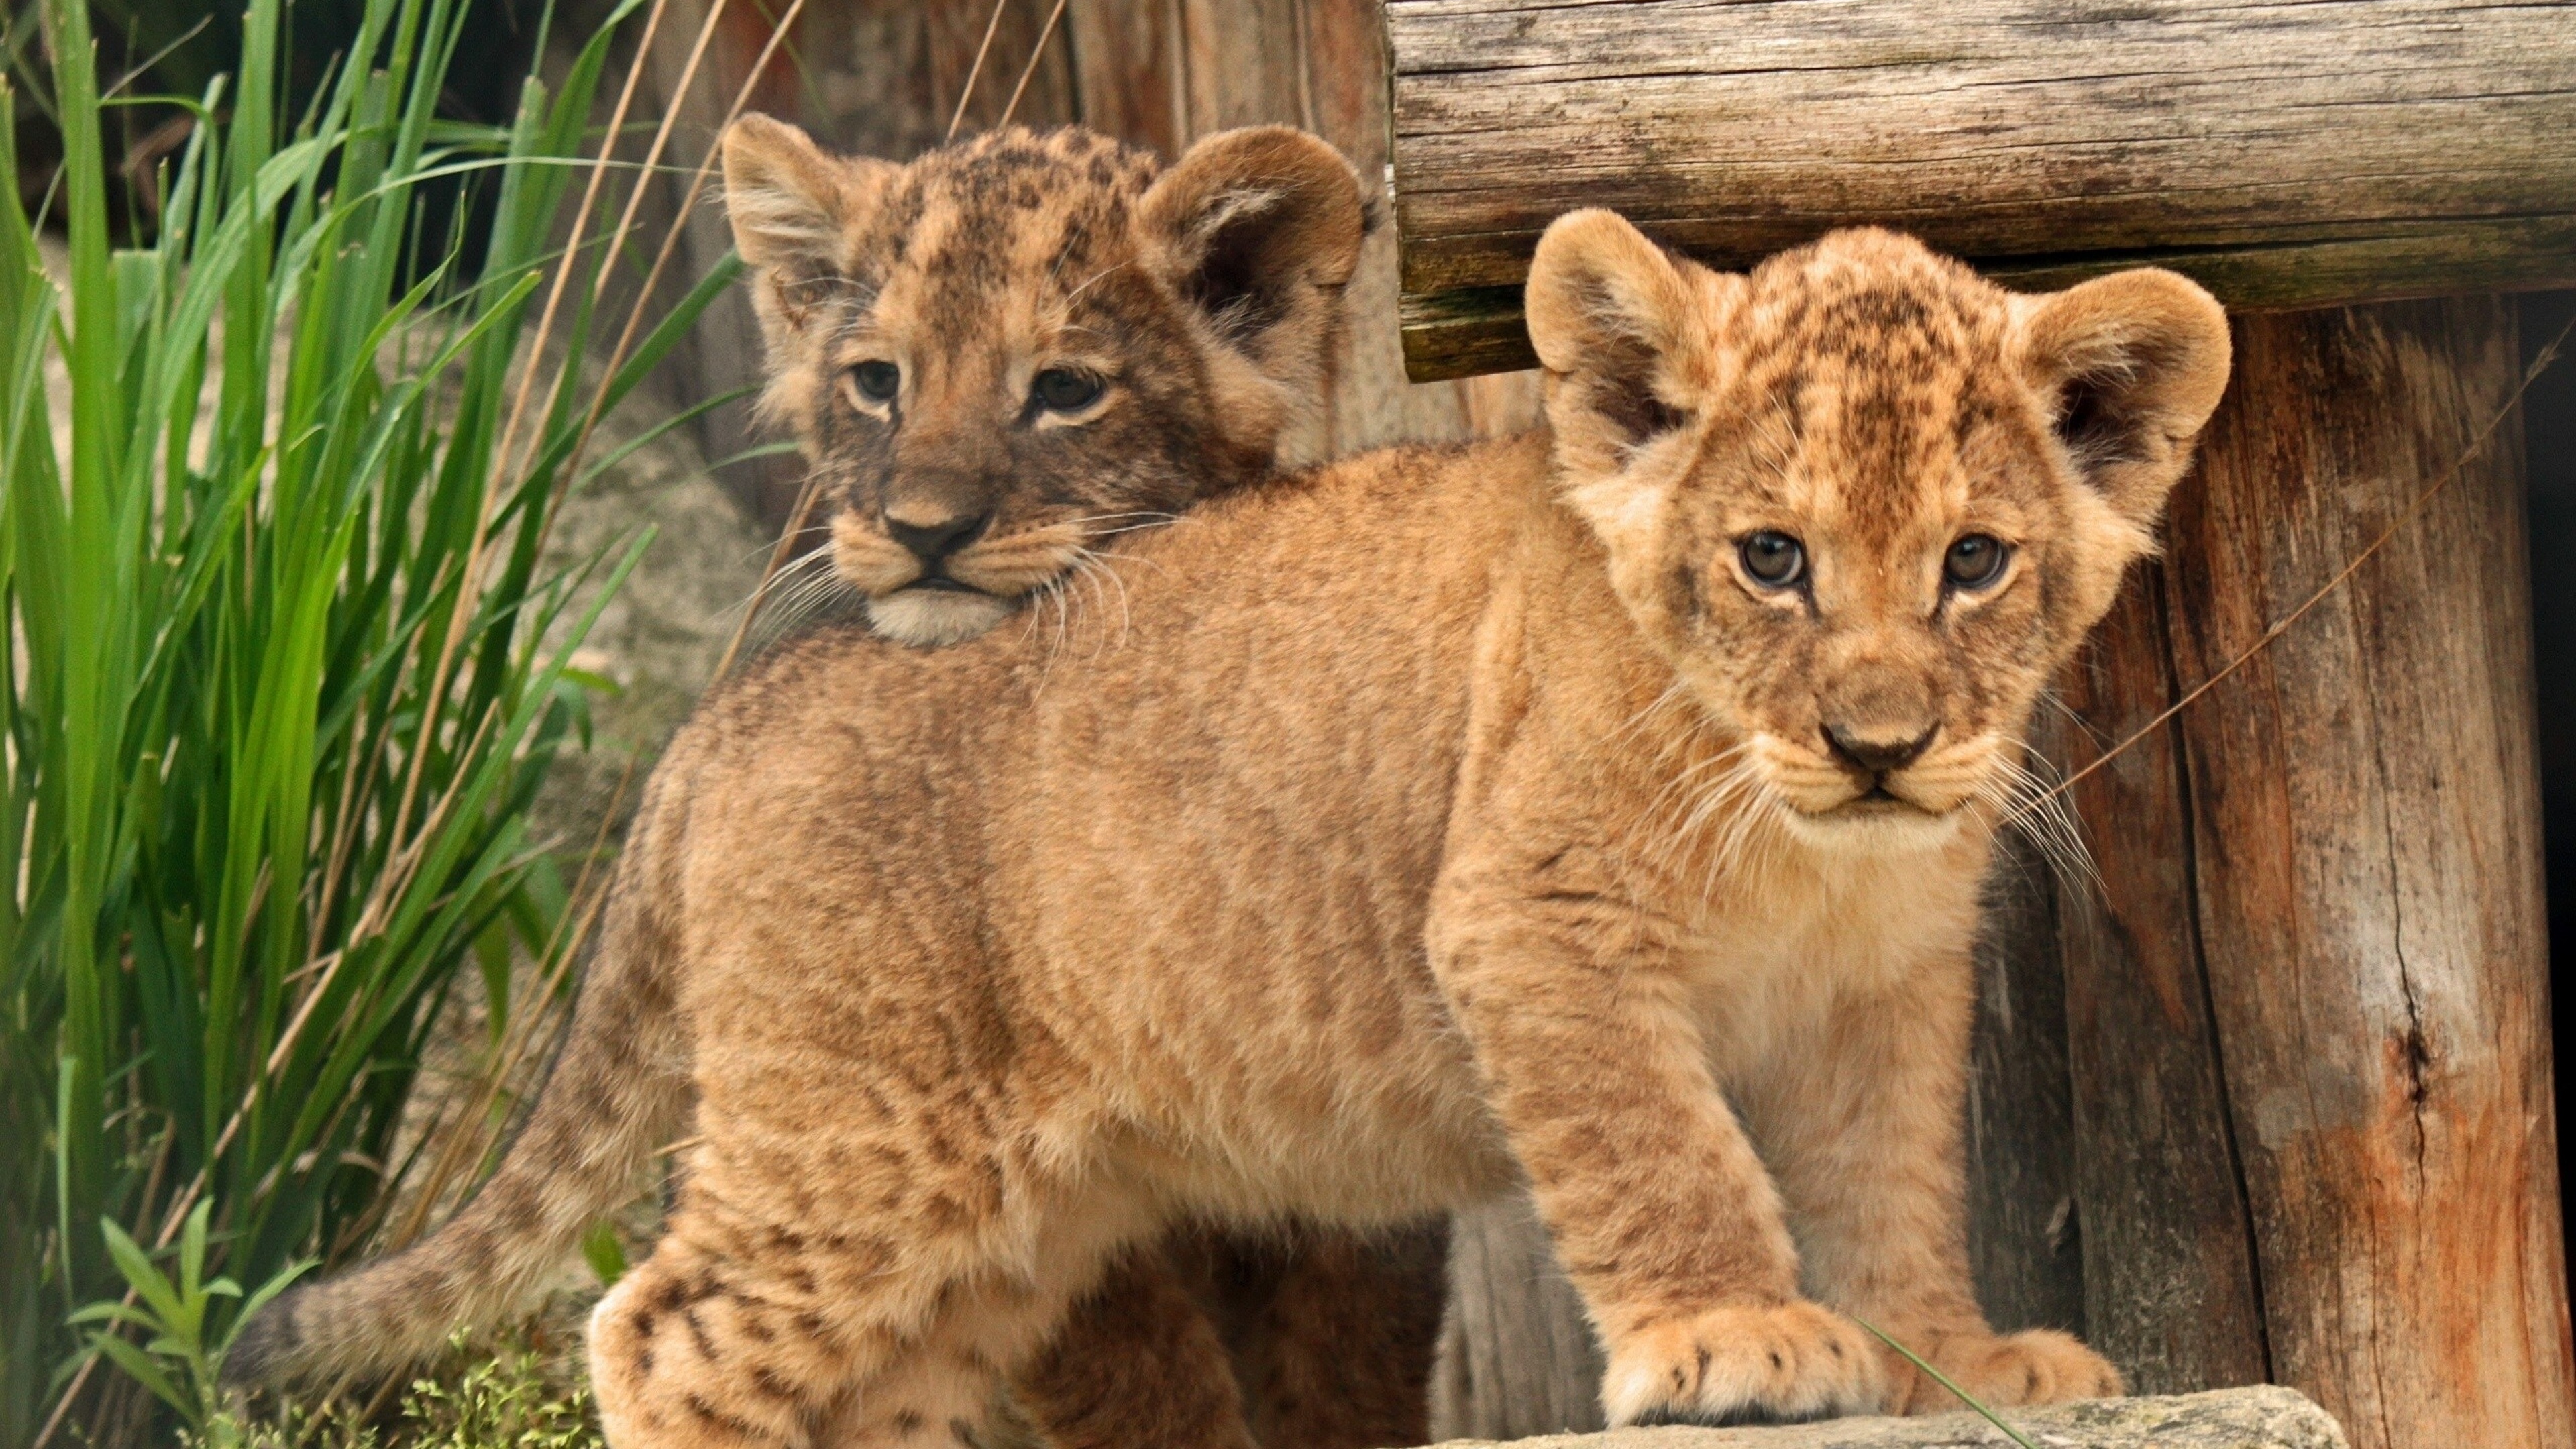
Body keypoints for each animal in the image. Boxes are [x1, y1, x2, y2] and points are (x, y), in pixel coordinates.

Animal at [235, 207, 2231, 1445]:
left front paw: (1956, 1361)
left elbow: (1896, 1187)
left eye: (1972, 562)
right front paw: (1732, 1339)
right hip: (853, 1128)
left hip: (1006, 1218)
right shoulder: (1532, 919)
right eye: (1770, 558)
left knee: (876, 1379)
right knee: (661, 1324)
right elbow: (1663, 1147)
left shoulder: (1880, 994)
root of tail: (741, 707)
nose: (1880, 746)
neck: (1812, 856)